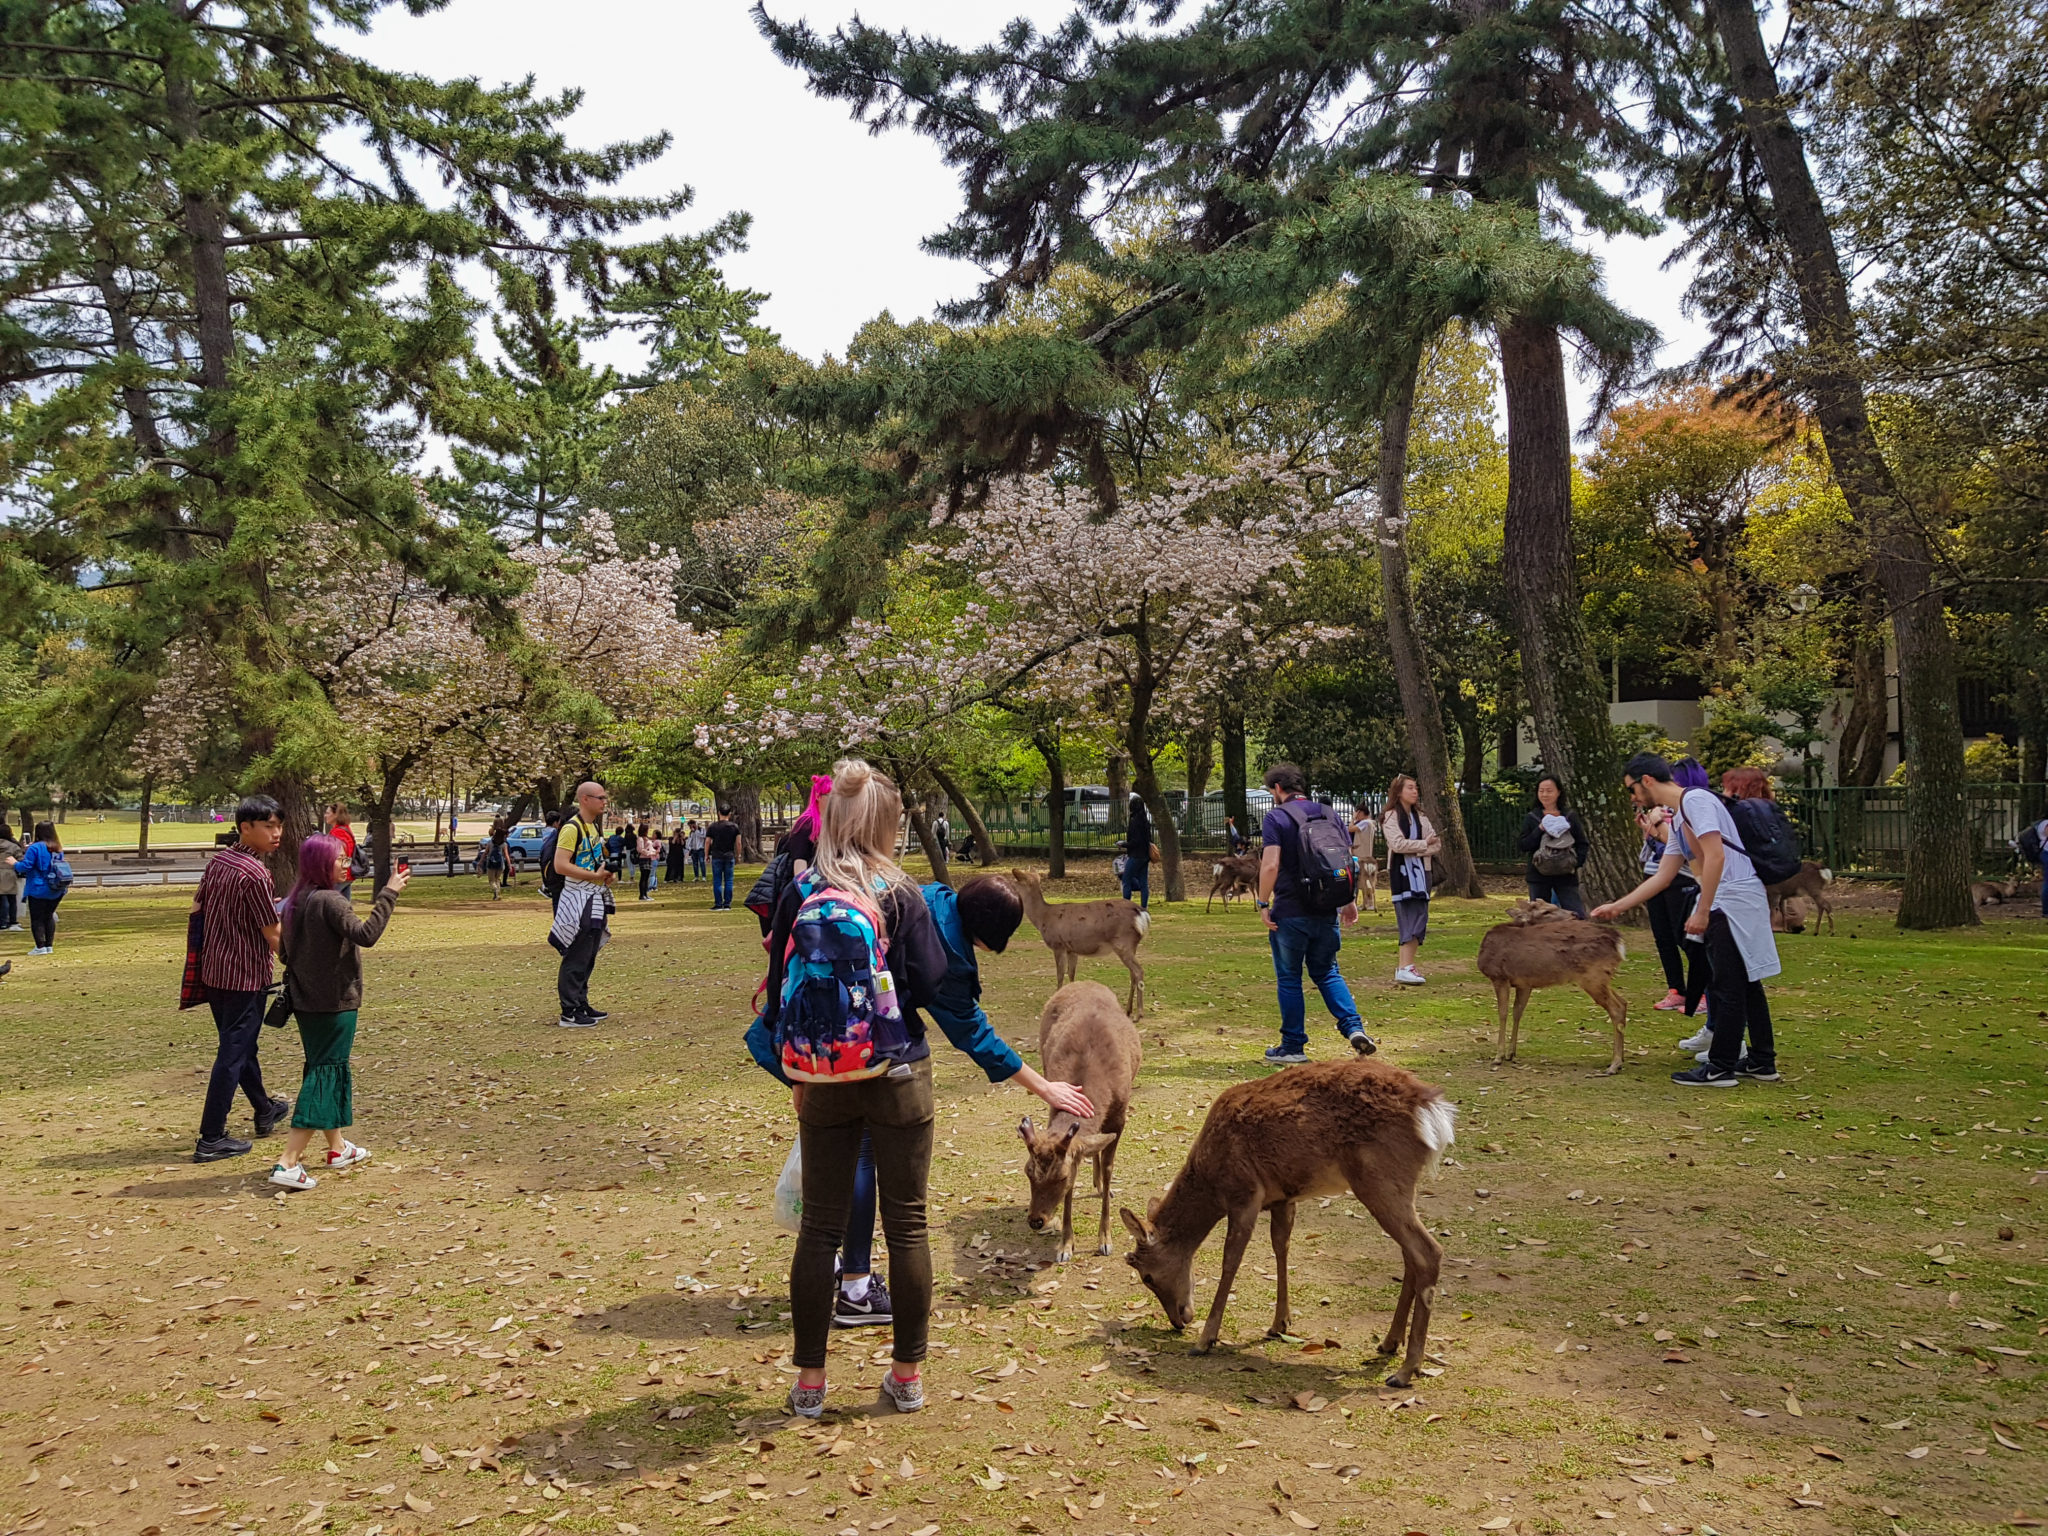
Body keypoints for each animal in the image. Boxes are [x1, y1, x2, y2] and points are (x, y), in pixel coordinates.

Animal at [1011, 868, 1155, 1024]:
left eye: (1014, 883)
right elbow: (1071, 973)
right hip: (1131, 945)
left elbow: (1060, 974)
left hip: (1123, 942)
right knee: (1132, 973)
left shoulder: (1058, 944)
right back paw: (1128, 1010)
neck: (1043, 918)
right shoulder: (1071, 948)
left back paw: (1139, 1014)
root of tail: (1142, 914)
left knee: (1138, 971)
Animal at [1019, 987, 1146, 1261]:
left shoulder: (1120, 1116)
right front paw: (1066, 1246)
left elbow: (1108, 1168)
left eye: (1061, 1176)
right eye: (1028, 1171)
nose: (1036, 1220)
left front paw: (1105, 1240)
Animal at [1122, 1064, 1458, 1392]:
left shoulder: (1245, 1193)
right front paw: (1279, 1323)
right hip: (1399, 1186)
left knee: (1428, 1251)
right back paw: (1389, 1343)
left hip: (1379, 1178)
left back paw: (1405, 1371)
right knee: (1410, 1254)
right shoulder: (1282, 1198)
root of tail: (1433, 1110)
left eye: (1147, 1276)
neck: (1211, 1181)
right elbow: (1280, 1246)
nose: (1179, 1321)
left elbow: (1231, 1260)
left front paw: (1206, 1340)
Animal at [1474, 901, 1630, 1073]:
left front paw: (1498, 1057)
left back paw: (1614, 1064)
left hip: (1592, 976)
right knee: (1623, 1002)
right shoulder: (1524, 983)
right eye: (1546, 911)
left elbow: (1502, 1013)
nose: (1574, 914)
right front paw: (1511, 1053)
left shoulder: (1499, 976)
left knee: (1615, 1008)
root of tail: (1617, 941)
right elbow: (1517, 1012)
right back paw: (1621, 1059)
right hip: (1602, 978)